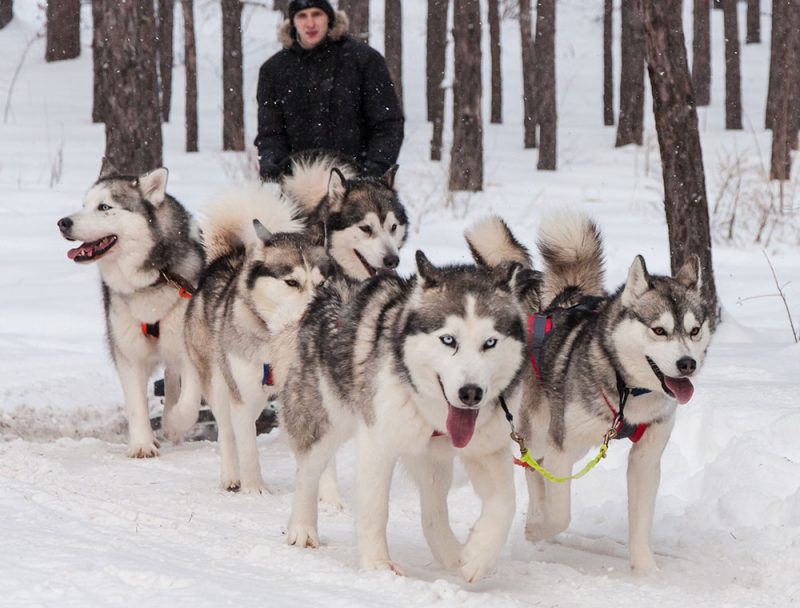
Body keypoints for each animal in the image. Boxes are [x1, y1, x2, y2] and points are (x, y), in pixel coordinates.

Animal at [57, 159, 205, 458]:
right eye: (84, 204)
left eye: (104, 207)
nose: (63, 222)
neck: (150, 281)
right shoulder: (128, 352)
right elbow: (137, 404)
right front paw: (142, 444)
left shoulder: (188, 349)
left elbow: (190, 401)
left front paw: (174, 423)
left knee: (173, 376)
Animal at [169, 186, 332, 494]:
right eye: (292, 282)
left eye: (321, 283)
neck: (274, 337)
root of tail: (222, 261)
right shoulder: (242, 396)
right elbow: (247, 447)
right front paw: (255, 488)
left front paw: (329, 496)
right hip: (222, 384)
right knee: (227, 431)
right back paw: (233, 476)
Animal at [282, 227, 532, 580]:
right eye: (448, 340)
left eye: (490, 342)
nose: (471, 393)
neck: (434, 415)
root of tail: (332, 292)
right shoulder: (378, 444)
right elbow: (374, 509)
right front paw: (376, 564)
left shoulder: (488, 450)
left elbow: (506, 502)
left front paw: (478, 556)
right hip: (325, 421)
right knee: (308, 472)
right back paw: (302, 528)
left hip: (432, 458)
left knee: (433, 509)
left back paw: (452, 554)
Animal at [506, 215, 712, 576]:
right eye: (659, 330)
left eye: (694, 330)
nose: (687, 364)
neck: (627, 391)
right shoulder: (562, 448)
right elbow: (560, 515)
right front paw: (537, 529)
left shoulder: (646, 456)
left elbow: (641, 521)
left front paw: (646, 572)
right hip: (544, 432)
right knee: (533, 464)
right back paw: (535, 517)